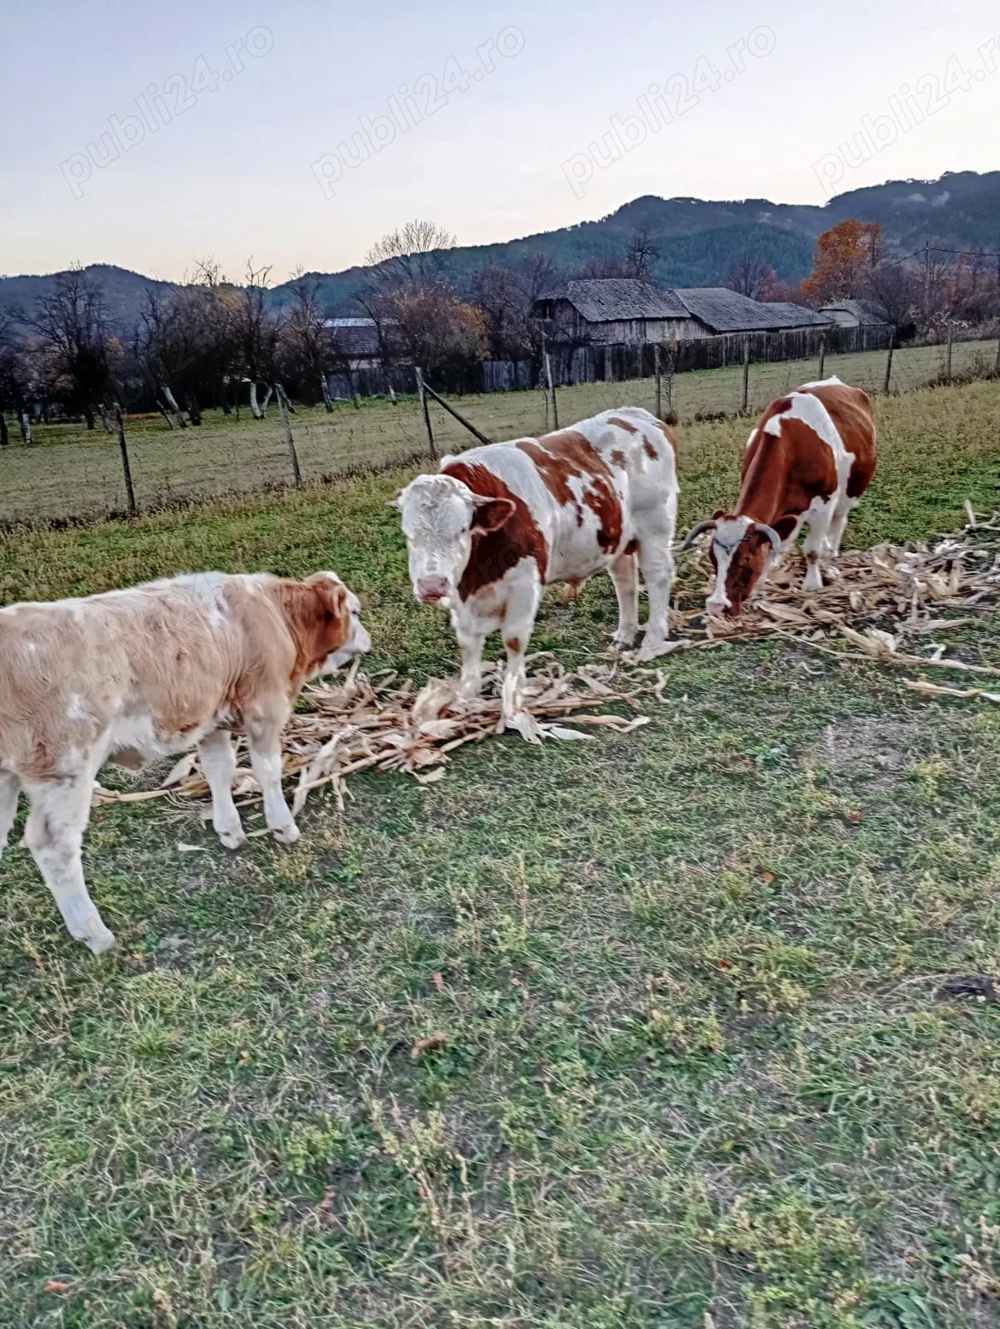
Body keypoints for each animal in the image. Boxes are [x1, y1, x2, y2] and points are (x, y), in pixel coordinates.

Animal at [0, 571, 371, 954]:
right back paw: (94, 933)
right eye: (355, 611)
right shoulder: (264, 707)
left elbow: (219, 770)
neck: (272, 612)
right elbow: (267, 770)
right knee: (54, 846)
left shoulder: (211, 717)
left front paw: (230, 830)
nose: (368, 640)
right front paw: (283, 826)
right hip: (64, 767)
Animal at [392, 407, 679, 725]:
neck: (477, 576)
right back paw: (624, 636)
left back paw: (652, 641)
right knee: (625, 582)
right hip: (617, 538)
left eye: (463, 529)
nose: (432, 586)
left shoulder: (524, 585)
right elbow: (468, 643)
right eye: (408, 535)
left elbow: (514, 641)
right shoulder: (461, 597)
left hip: (655, 526)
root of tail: (639, 415)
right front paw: (466, 696)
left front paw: (513, 702)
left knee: (658, 577)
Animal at [683, 377, 877, 617]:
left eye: (745, 559)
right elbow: (774, 544)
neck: (791, 444)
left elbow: (812, 550)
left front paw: (812, 585)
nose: (717, 606)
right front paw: (762, 585)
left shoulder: (824, 503)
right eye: (712, 557)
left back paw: (829, 556)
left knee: (838, 523)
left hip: (846, 495)